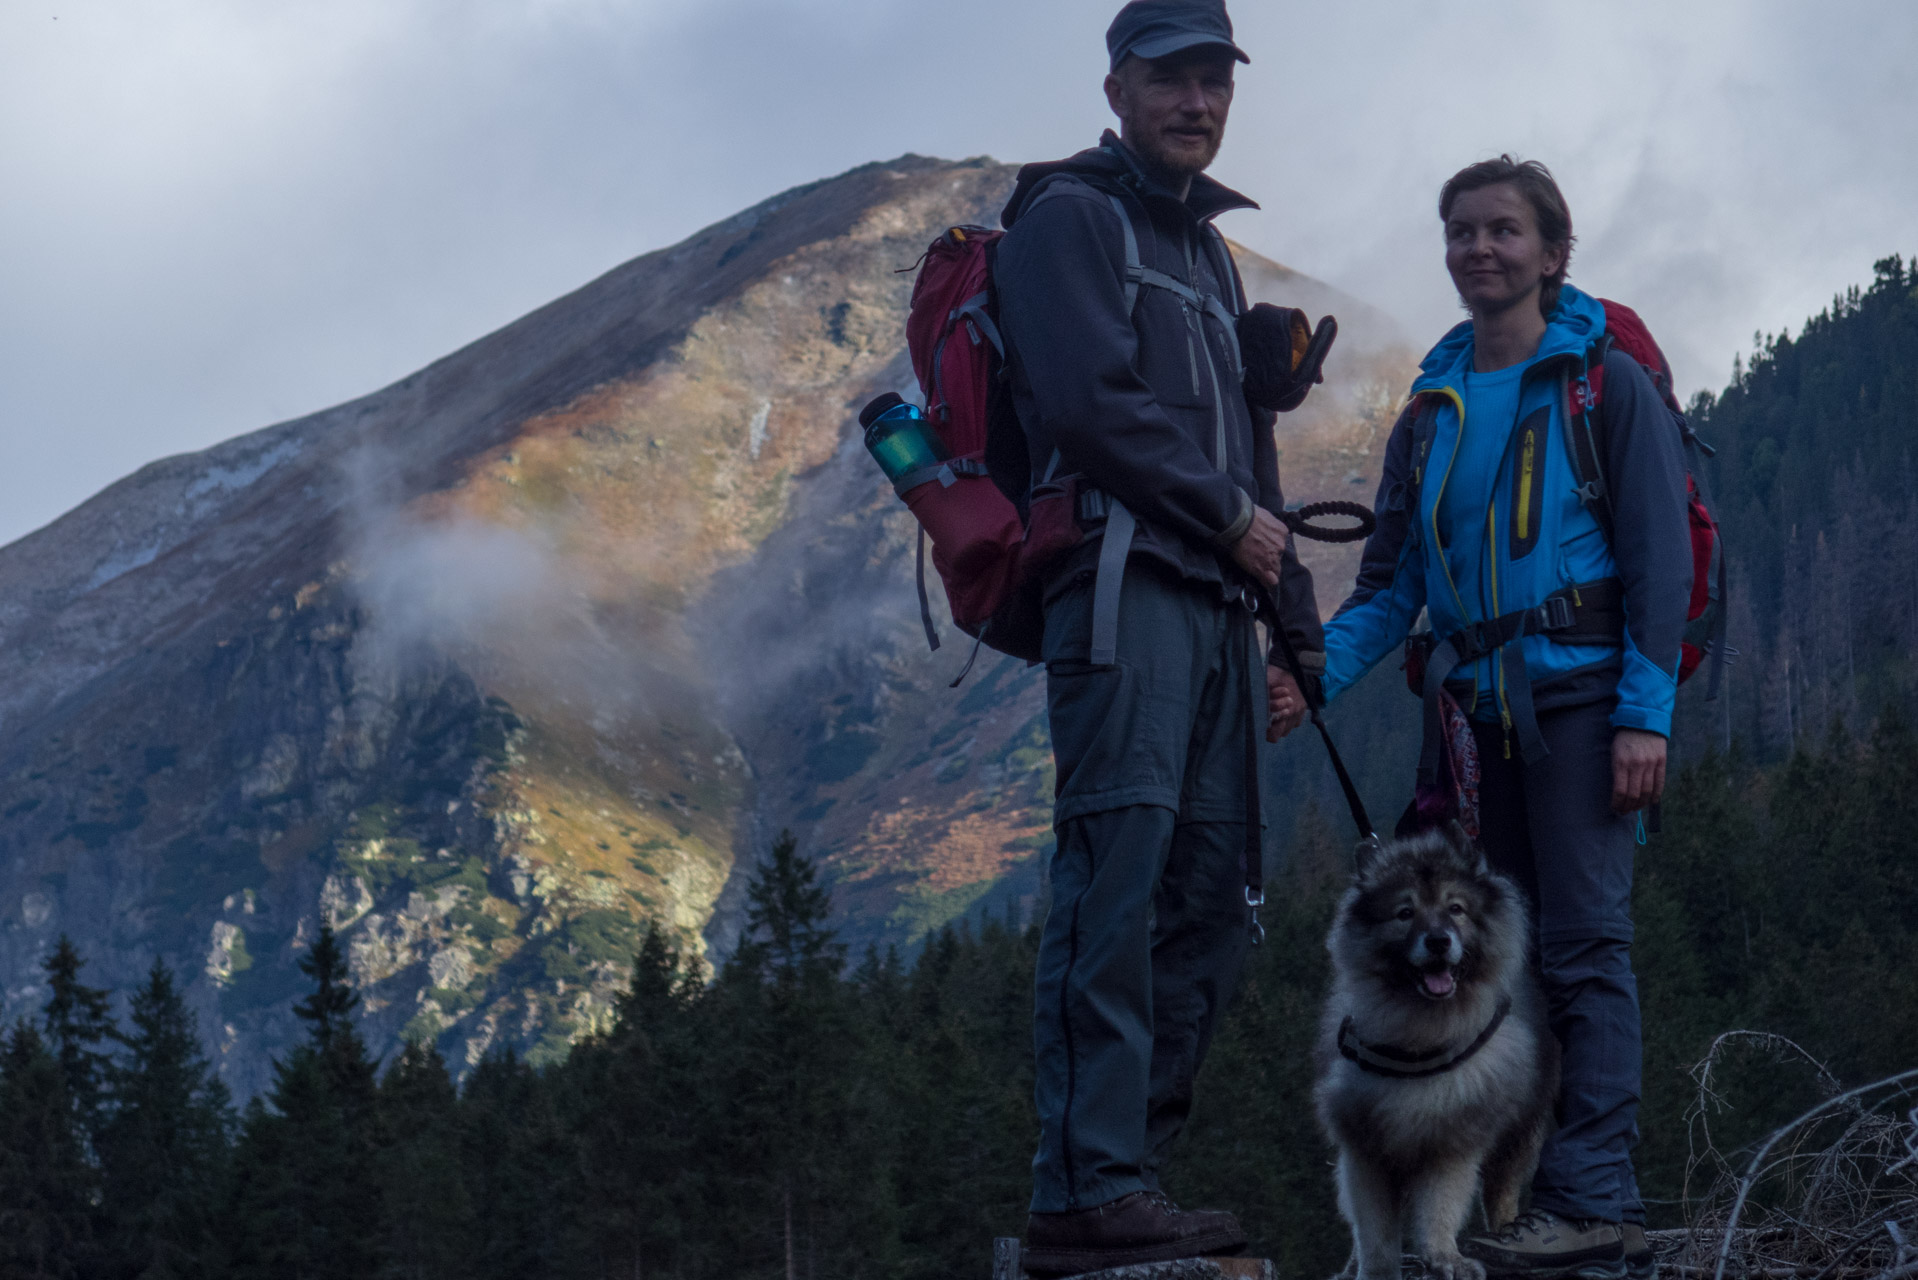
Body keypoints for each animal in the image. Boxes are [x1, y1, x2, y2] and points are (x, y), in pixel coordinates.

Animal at [1311, 821, 1565, 1280]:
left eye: (1456, 909)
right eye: (1404, 913)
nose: (1438, 941)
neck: (1419, 1034)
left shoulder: (1453, 1141)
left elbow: (1441, 1206)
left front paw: (1445, 1256)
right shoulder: (1365, 1149)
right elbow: (1372, 1229)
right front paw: (1374, 1269)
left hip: (1520, 1134)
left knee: (1502, 1194)